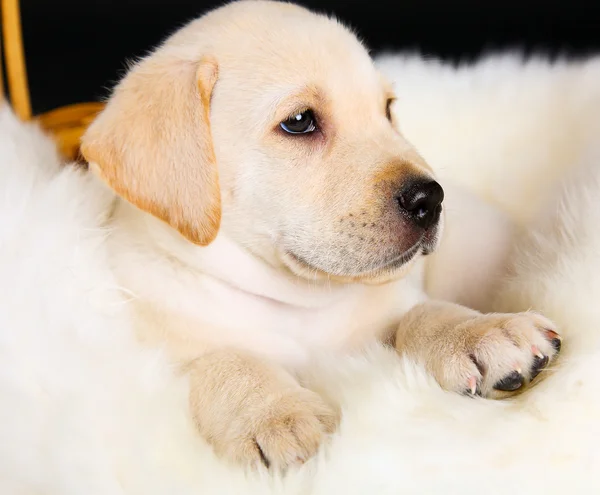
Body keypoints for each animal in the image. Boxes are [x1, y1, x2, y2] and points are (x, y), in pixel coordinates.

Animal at [81, 0, 564, 472]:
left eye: (387, 109)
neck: (295, 301)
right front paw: (274, 413)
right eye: (299, 122)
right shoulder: (159, 351)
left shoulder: (388, 312)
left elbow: (421, 314)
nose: (430, 198)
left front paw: (480, 333)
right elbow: (220, 358)